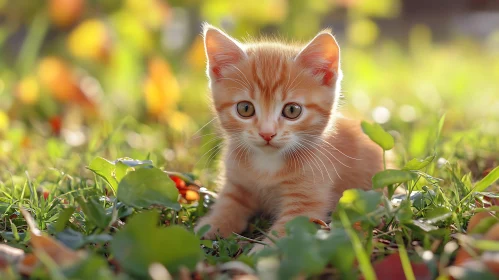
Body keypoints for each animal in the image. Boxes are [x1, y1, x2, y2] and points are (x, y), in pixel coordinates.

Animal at [195, 23, 382, 252]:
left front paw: (262, 252)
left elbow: (287, 230)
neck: (267, 164)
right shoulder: (237, 184)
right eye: (245, 108)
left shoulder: (307, 202)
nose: (267, 133)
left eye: (292, 110)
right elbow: (227, 205)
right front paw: (211, 225)